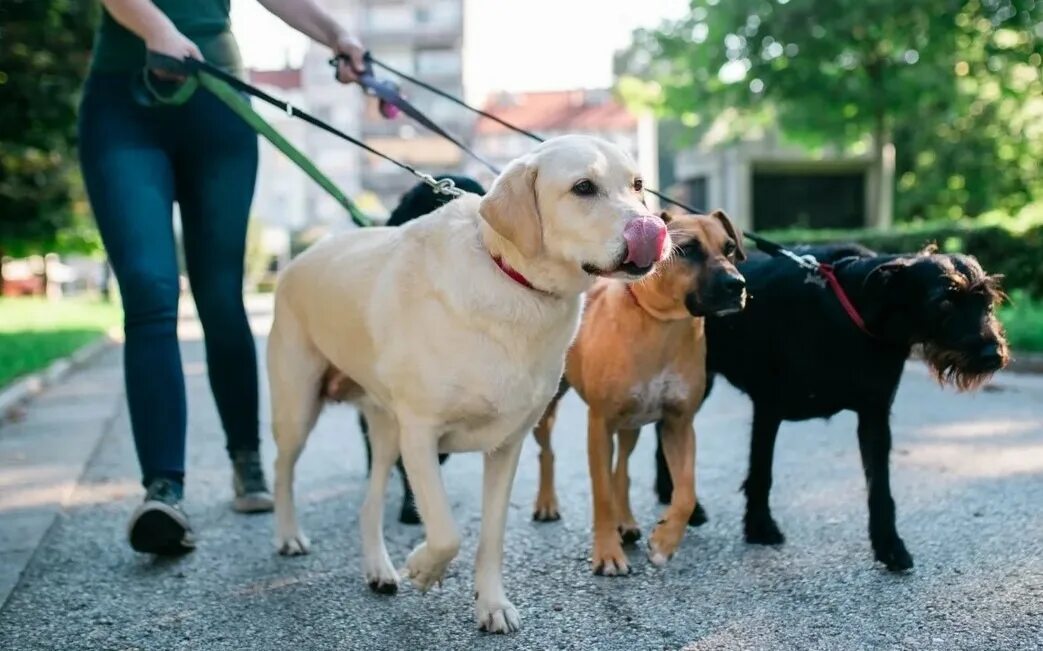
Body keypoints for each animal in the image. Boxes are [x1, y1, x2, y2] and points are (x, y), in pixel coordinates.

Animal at [534, 210, 746, 571]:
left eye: (730, 247)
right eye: (688, 249)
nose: (737, 285)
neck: (662, 325)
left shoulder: (679, 423)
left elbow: (686, 492)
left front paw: (664, 541)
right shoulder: (599, 423)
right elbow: (601, 493)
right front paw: (607, 553)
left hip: (630, 424)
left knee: (622, 470)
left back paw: (627, 522)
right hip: (547, 412)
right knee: (547, 452)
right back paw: (547, 504)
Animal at [655, 244, 1005, 567]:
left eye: (987, 302)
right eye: (943, 302)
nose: (994, 354)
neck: (854, 312)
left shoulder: (875, 416)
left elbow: (880, 489)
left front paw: (889, 545)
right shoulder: (768, 408)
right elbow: (761, 473)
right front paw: (760, 527)